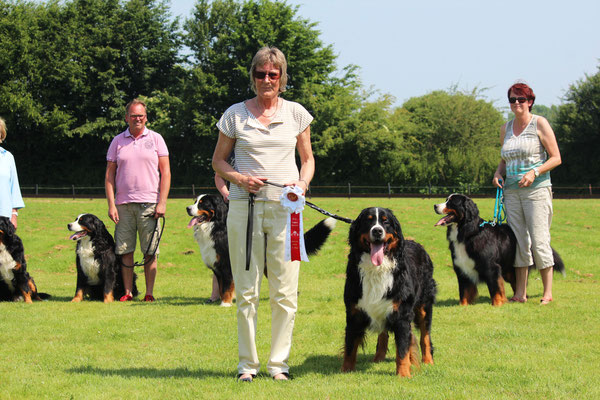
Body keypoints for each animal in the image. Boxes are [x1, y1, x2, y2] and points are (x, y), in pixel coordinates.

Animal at [188, 194, 338, 306]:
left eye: (202, 204)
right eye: (195, 201)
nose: (187, 208)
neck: (216, 227)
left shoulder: (227, 264)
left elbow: (226, 287)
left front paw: (225, 303)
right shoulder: (217, 266)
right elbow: (220, 286)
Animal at [342, 208, 436, 376]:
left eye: (386, 222)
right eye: (368, 220)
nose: (377, 231)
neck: (377, 269)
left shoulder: (402, 314)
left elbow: (402, 349)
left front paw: (404, 374)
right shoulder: (354, 312)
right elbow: (350, 346)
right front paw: (345, 370)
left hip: (424, 305)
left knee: (425, 335)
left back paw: (427, 360)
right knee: (383, 334)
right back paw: (379, 357)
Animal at [434, 194, 564, 306]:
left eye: (451, 202)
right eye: (446, 200)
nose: (435, 205)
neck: (468, 233)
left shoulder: (491, 267)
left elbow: (495, 287)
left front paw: (497, 304)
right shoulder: (462, 268)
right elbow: (464, 291)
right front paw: (463, 306)